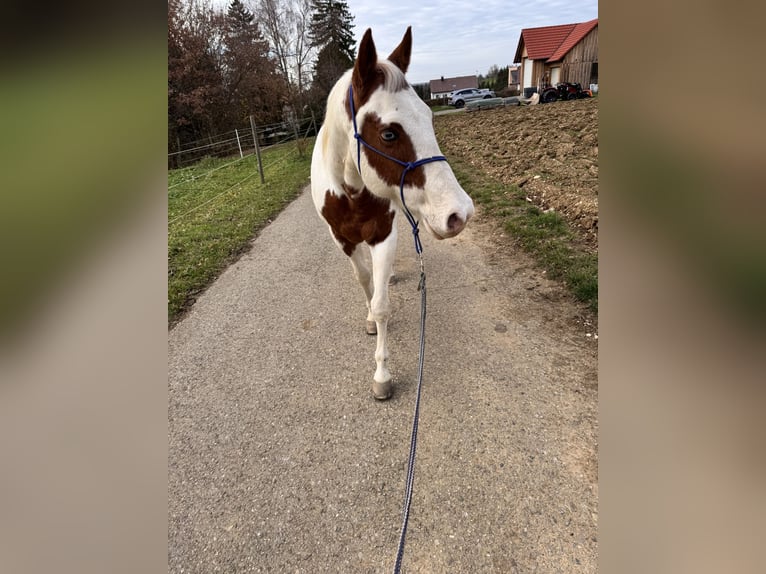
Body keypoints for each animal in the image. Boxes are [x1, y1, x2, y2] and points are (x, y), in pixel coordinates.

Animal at [310, 27, 474, 400]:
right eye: (388, 133)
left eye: (429, 117)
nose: (459, 213)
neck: (349, 190)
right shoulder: (343, 241)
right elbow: (364, 282)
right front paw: (371, 318)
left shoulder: (382, 234)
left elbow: (383, 303)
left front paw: (382, 374)